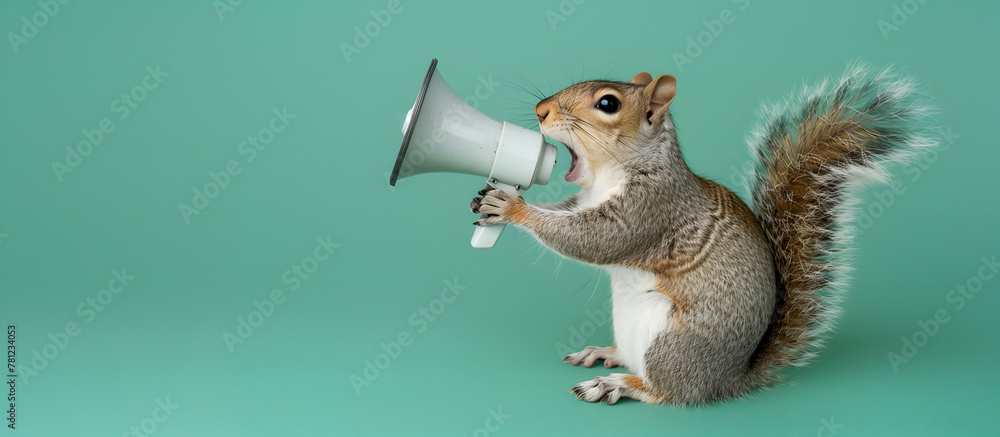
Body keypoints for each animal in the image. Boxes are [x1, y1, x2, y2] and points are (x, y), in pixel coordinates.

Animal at [470, 65, 935, 405]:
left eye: (607, 103)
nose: (540, 110)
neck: (612, 173)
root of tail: (727, 379)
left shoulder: (650, 211)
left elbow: (592, 240)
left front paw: (511, 208)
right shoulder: (582, 201)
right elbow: (563, 215)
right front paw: (492, 200)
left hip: (669, 344)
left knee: (666, 392)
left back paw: (616, 383)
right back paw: (606, 354)